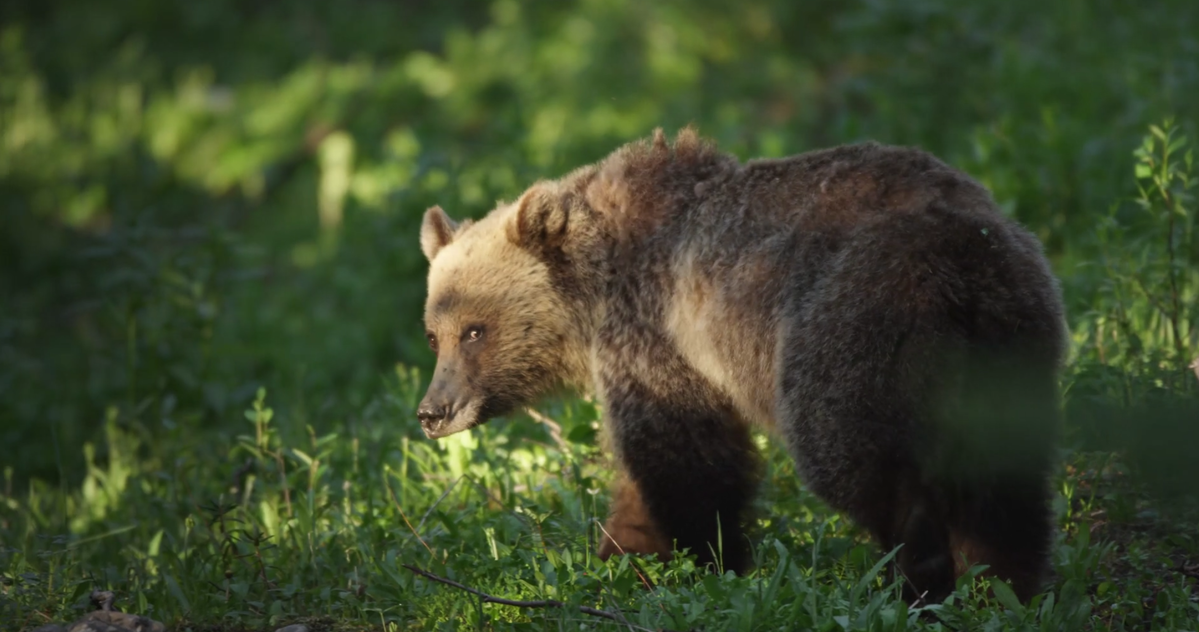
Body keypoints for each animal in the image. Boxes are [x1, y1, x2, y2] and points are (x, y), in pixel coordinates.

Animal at [416, 128, 1067, 604]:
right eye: (433, 334)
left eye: (475, 330)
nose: (432, 411)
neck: (592, 292)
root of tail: (954, 264)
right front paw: (626, 555)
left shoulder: (657, 332)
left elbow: (687, 460)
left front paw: (705, 561)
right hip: (1009, 339)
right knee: (1003, 482)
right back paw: (1004, 587)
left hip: (850, 330)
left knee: (865, 466)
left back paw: (915, 584)